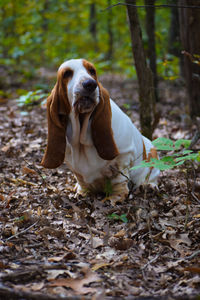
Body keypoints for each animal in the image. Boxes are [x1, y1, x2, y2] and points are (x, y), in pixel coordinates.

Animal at [41, 58, 159, 200]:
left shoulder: (124, 155)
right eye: (67, 73)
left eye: (92, 71)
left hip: (152, 152)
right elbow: (81, 180)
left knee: (151, 176)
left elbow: (119, 177)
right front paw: (82, 193)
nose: (90, 84)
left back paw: (149, 186)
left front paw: (117, 196)